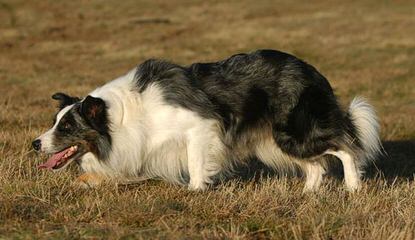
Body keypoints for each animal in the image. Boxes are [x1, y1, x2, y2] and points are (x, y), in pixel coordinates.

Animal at [33, 50, 384, 191]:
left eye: (67, 126)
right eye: (55, 122)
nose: (35, 143)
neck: (120, 117)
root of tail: (312, 71)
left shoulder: (200, 128)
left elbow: (195, 163)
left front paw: (195, 190)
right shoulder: (142, 148)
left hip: (293, 133)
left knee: (344, 147)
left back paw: (353, 186)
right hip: (273, 141)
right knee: (316, 165)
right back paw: (307, 194)